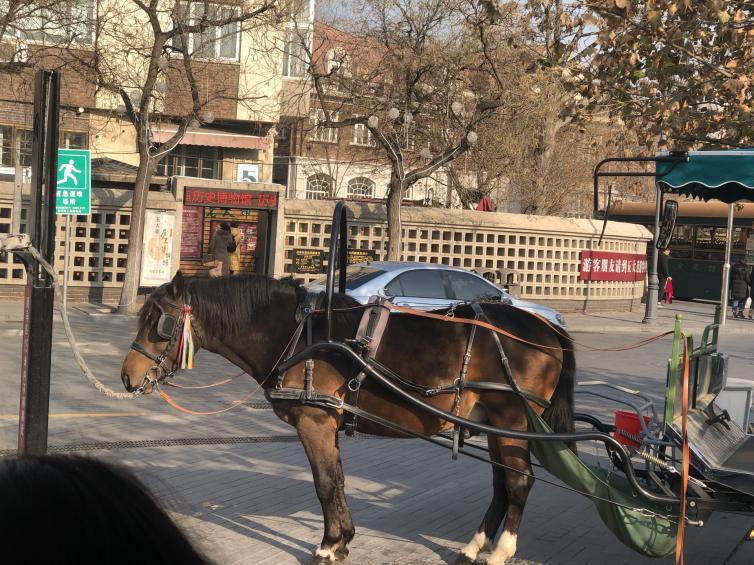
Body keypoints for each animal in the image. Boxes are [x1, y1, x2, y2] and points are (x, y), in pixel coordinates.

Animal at [122, 270, 576, 560]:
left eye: (159, 324)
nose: (127, 376)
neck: (299, 335)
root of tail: (548, 330)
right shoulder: (328, 423)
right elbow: (338, 480)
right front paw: (343, 539)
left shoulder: (314, 422)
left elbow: (324, 484)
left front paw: (328, 545)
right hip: (494, 425)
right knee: (502, 484)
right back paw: (474, 545)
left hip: (511, 422)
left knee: (518, 482)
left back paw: (501, 551)